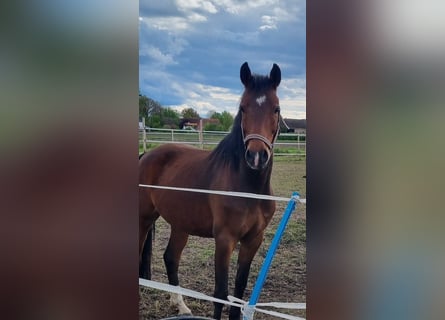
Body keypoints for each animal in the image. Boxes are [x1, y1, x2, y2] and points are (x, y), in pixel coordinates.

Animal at [139, 62, 280, 320]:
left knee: (170, 258)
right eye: (243, 108)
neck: (248, 189)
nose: (256, 156)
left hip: (180, 224)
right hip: (143, 218)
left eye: (276, 109)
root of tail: (146, 155)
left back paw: (181, 306)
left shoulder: (253, 240)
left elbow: (239, 290)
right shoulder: (224, 239)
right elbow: (221, 292)